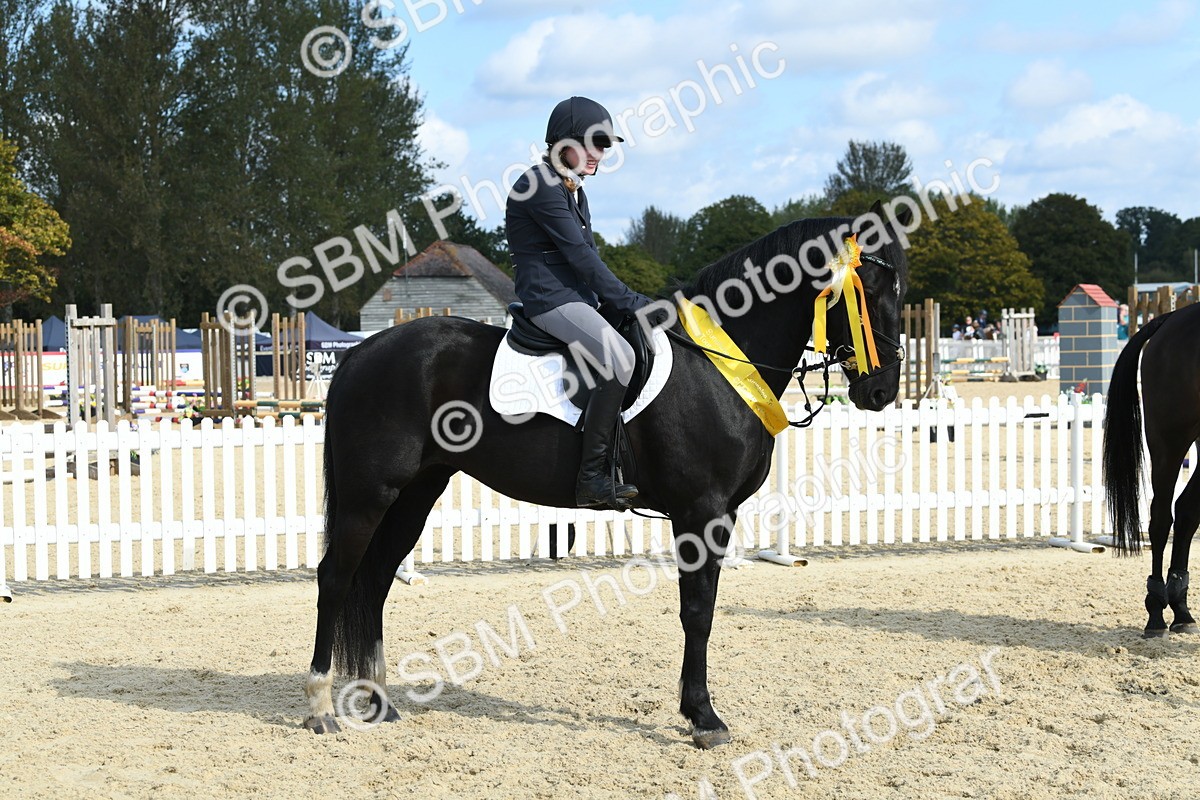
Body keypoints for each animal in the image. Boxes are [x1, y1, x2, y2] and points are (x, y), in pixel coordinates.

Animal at [304, 202, 911, 747]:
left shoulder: (722, 513)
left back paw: (378, 702)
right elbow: (698, 613)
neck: (718, 361)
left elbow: (703, 610)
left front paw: (699, 712)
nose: (882, 392)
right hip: (369, 494)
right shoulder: (701, 513)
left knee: (377, 578)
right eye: (871, 289)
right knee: (336, 578)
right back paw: (320, 708)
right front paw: (703, 718)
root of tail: (360, 353)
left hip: (416, 492)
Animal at [1103, 302, 1200, 637]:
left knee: (1187, 511)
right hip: (1169, 439)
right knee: (1161, 517)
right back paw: (1157, 611)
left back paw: (1181, 608)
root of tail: (1171, 318)